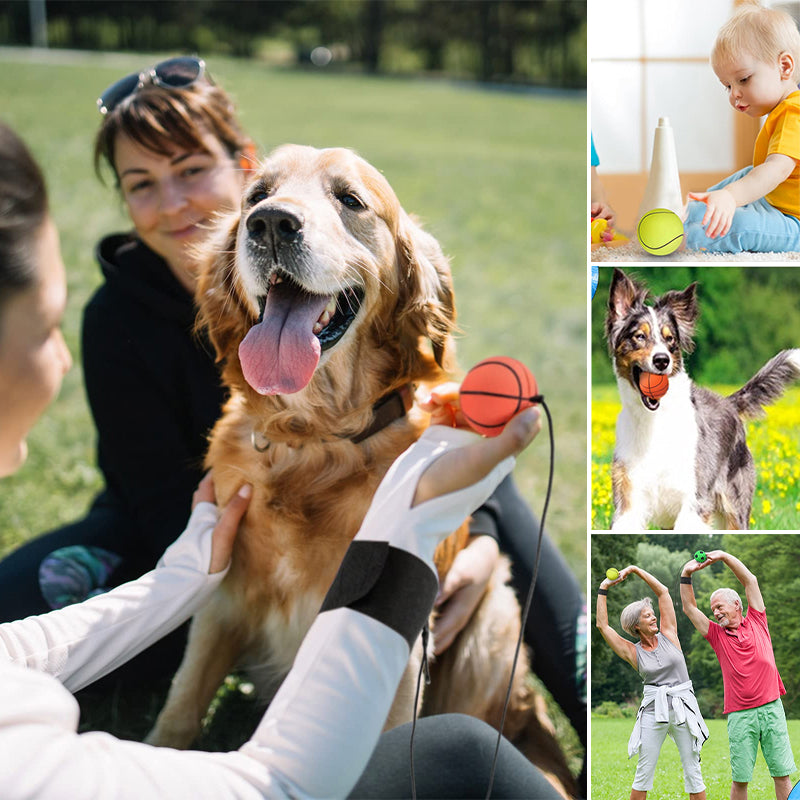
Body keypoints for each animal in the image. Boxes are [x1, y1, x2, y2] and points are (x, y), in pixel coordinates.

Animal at [148, 147, 576, 796]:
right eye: (256, 196)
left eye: (349, 200)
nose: (270, 224)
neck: (315, 439)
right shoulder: (223, 601)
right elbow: (180, 708)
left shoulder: (401, 657)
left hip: (494, 620)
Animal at [608, 270, 800, 532]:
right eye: (639, 336)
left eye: (670, 340)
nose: (662, 360)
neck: (655, 421)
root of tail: (729, 403)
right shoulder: (629, 498)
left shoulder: (695, 499)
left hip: (735, 506)